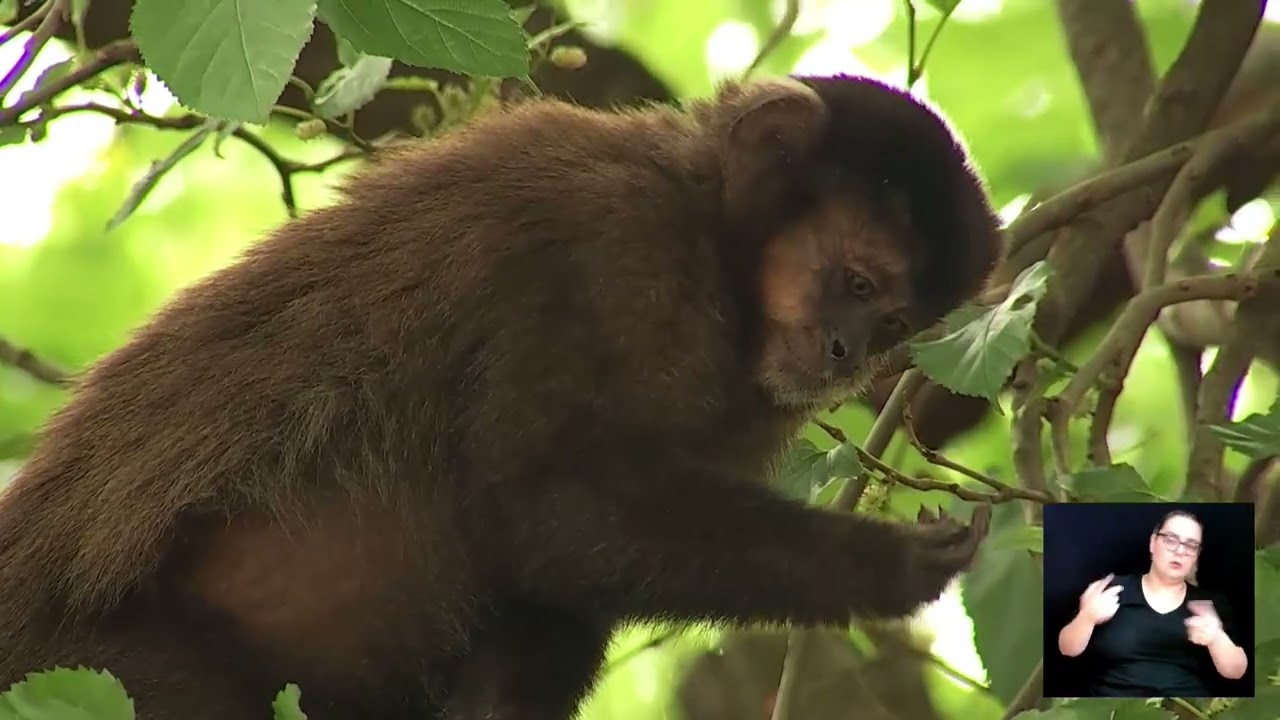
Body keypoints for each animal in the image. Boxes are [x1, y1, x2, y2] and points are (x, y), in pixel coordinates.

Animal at [0, 72, 1004, 720]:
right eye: (856, 283)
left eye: (895, 323)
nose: (845, 355)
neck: (711, 243)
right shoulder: (611, 244)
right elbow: (543, 508)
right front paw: (882, 567)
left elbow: (556, 570)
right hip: (109, 667)